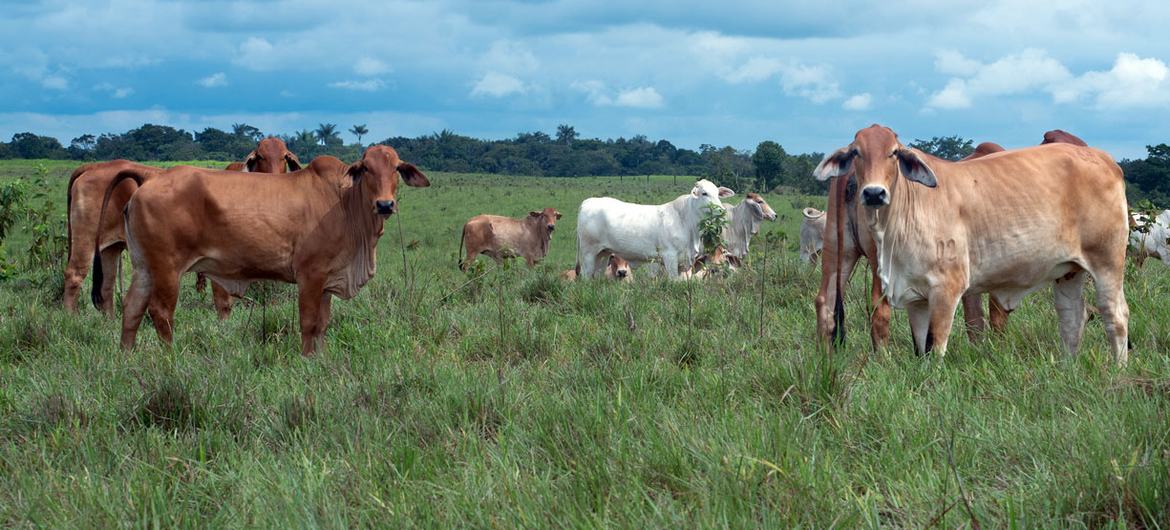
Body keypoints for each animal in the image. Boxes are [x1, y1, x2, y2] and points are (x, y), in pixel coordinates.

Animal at [93, 143, 428, 355]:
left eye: (396, 168)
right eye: (367, 168)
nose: (385, 204)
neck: (344, 202)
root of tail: (151, 178)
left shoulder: (328, 280)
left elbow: (322, 325)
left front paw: (320, 359)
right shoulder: (310, 275)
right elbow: (309, 323)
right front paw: (306, 360)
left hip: (144, 267)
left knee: (132, 309)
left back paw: (127, 357)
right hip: (167, 268)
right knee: (160, 313)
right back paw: (169, 359)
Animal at [573, 180, 730, 278]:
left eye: (718, 194)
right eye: (704, 193)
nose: (721, 210)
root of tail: (589, 201)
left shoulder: (684, 262)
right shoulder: (669, 257)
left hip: (603, 253)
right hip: (588, 253)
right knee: (587, 276)